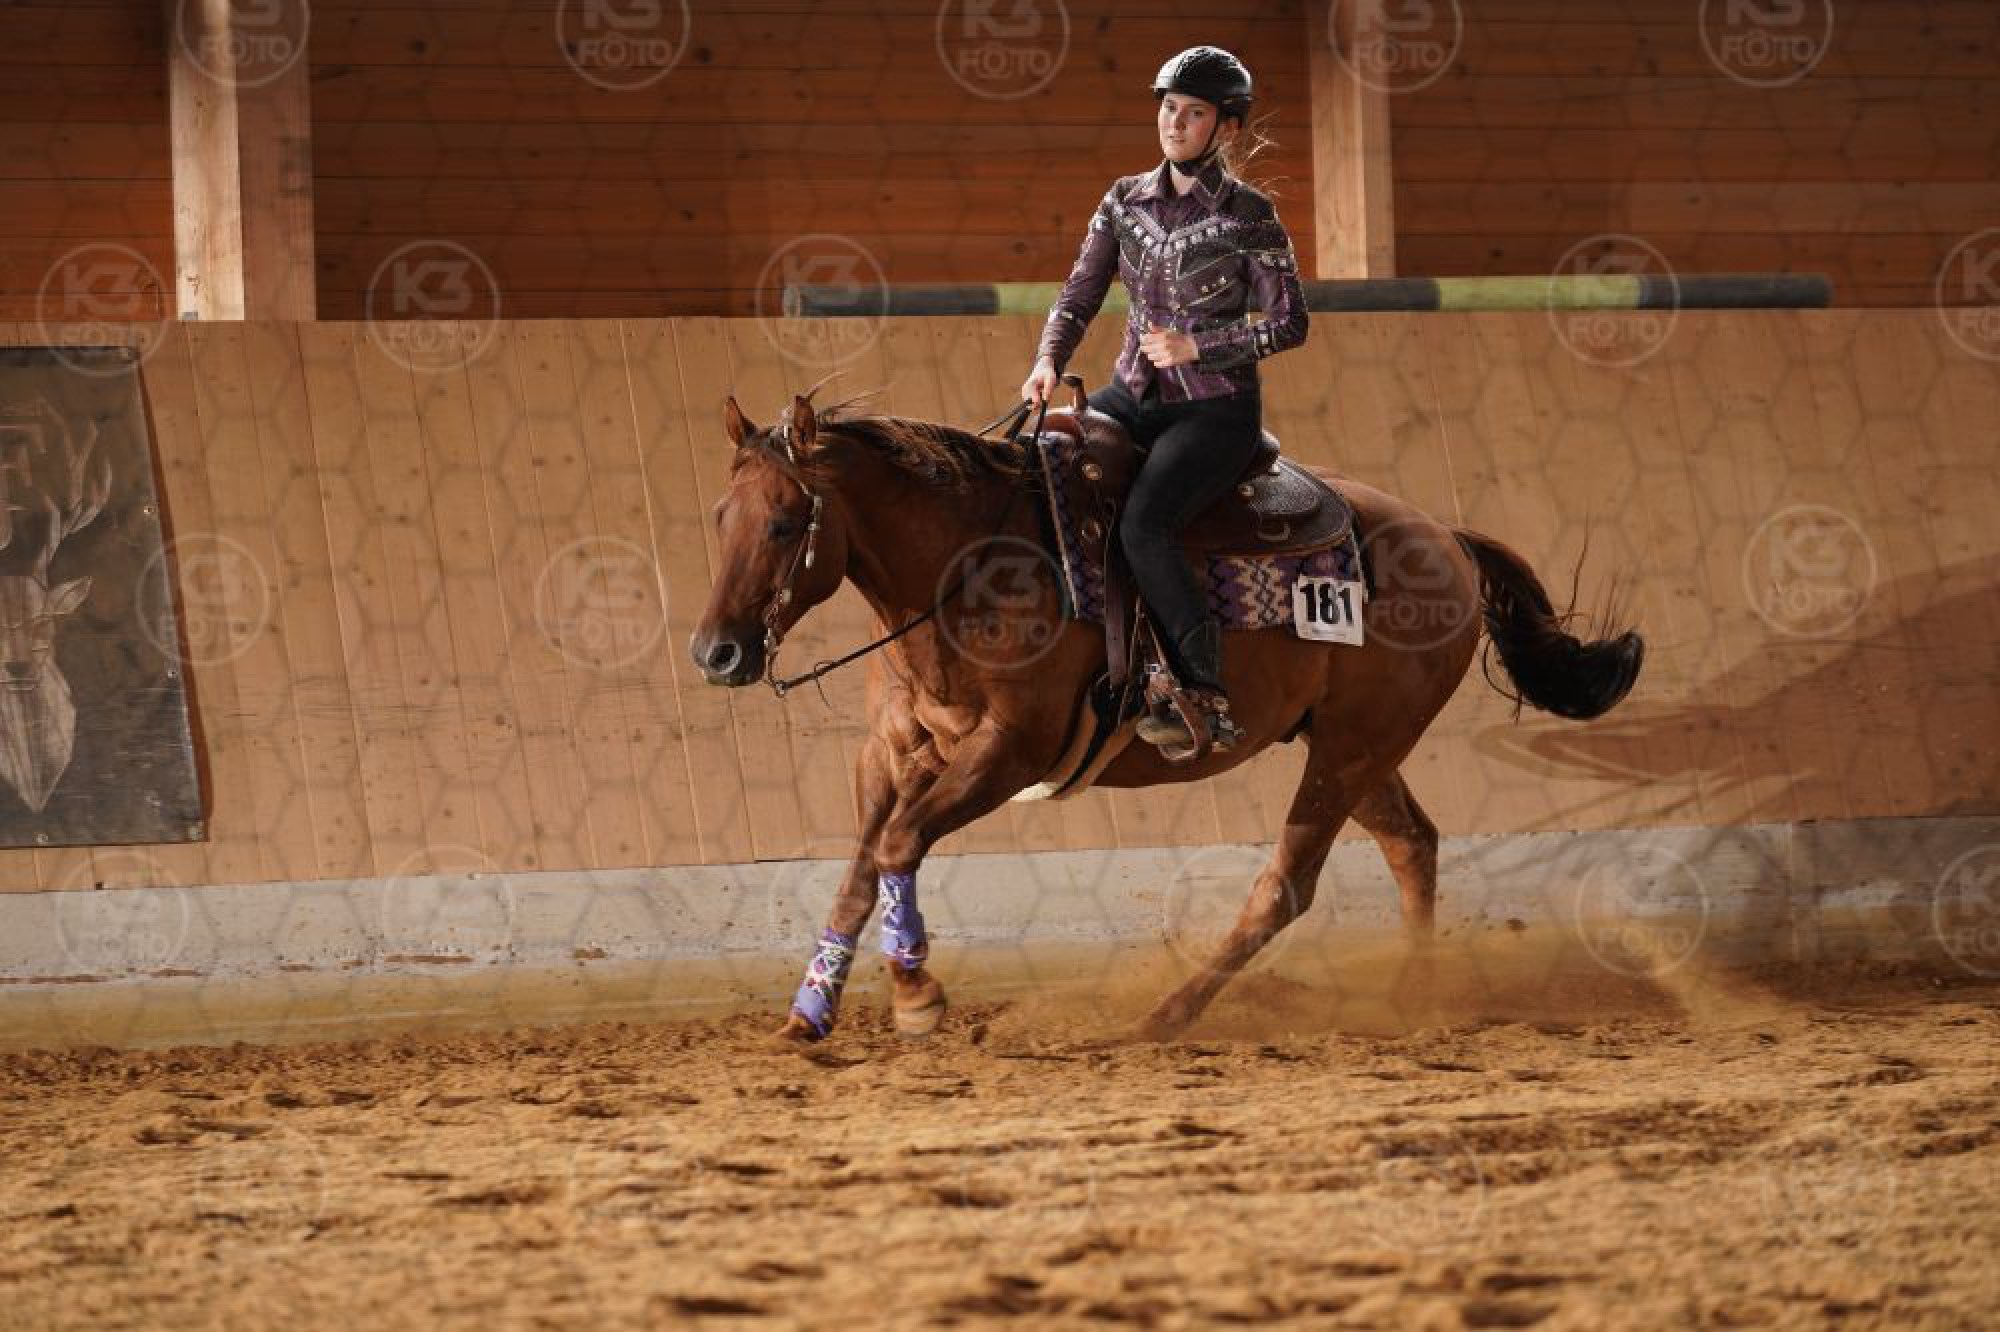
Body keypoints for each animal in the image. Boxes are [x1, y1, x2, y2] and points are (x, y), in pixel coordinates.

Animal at [690, 388, 1643, 1046]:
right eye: (720, 516)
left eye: (785, 523)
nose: (717, 654)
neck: (966, 569)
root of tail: (1446, 538)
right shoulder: (892, 754)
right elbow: (860, 870)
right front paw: (809, 1012)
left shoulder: (1011, 751)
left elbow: (897, 847)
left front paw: (918, 997)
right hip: (1356, 745)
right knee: (1413, 844)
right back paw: (1415, 993)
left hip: (1352, 748)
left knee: (1286, 887)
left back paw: (1165, 1014)